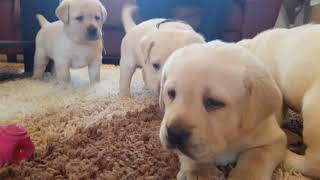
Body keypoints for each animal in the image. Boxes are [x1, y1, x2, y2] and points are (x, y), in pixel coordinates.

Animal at [159, 41, 286, 180]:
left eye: (214, 102)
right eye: (171, 93)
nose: (174, 133)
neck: (227, 140)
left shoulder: (274, 140)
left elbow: (256, 157)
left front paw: (245, 176)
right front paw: (200, 171)